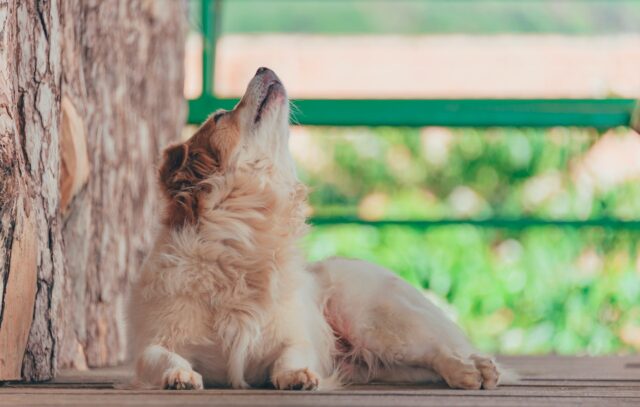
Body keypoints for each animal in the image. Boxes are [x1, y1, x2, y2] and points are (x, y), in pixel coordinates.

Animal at [127, 67, 502, 392]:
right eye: (220, 117)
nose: (263, 67)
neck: (241, 236)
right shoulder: (153, 342)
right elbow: (160, 356)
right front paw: (179, 374)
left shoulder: (294, 338)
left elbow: (291, 355)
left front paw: (296, 375)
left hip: (377, 324)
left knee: (435, 350)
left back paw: (470, 369)